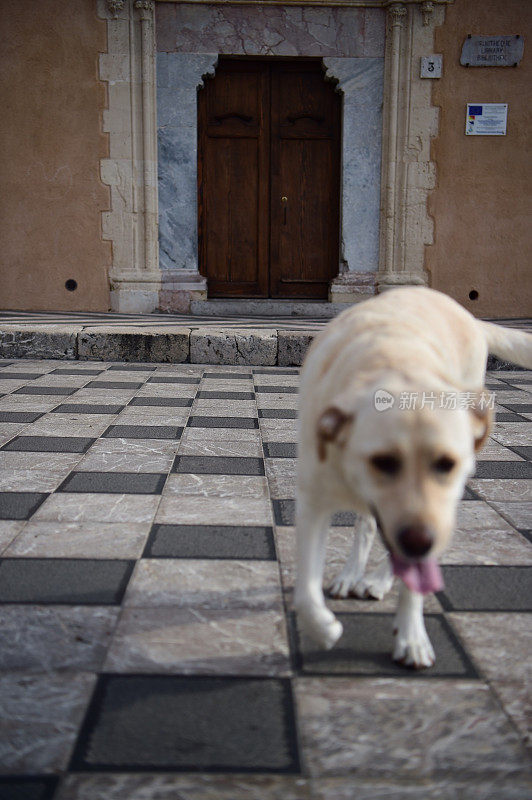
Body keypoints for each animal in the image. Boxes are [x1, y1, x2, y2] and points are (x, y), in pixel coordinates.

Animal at [296, 288, 532, 668]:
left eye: (446, 464)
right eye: (383, 461)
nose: (419, 540)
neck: (394, 363)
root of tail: (467, 313)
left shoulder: (435, 516)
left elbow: (414, 582)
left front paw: (411, 637)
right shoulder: (312, 500)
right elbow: (305, 590)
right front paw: (323, 628)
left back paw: (378, 581)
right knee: (368, 525)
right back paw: (352, 575)